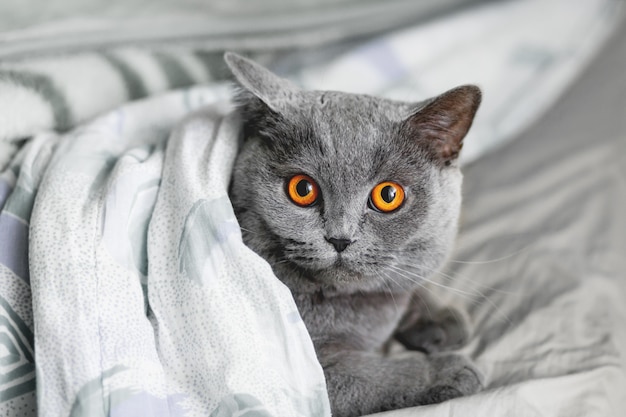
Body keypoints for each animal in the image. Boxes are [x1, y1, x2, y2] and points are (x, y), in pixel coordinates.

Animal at [224, 52, 482, 416]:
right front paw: (448, 369)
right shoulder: (304, 377)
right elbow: (373, 375)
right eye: (302, 189)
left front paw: (440, 318)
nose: (340, 238)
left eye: (388, 195)